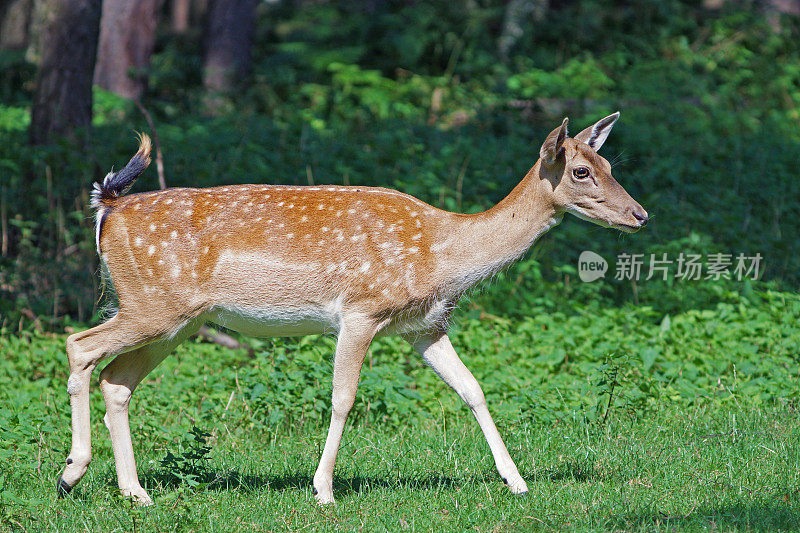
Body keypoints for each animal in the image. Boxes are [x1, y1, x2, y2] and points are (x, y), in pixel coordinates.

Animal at [56, 112, 648, 502]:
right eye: (580, 172)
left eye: (608, 161)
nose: (640, 214)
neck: (442, 253)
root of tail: (108, 208)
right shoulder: (362, 311)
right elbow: (343, 398)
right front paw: (323, 489)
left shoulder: (424, 326)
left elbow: (473, 389)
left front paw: (517, 480)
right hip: (152, 303)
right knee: (79, 345)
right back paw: (71, 472)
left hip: (178, 321)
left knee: (116, 380)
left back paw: (135, 492)